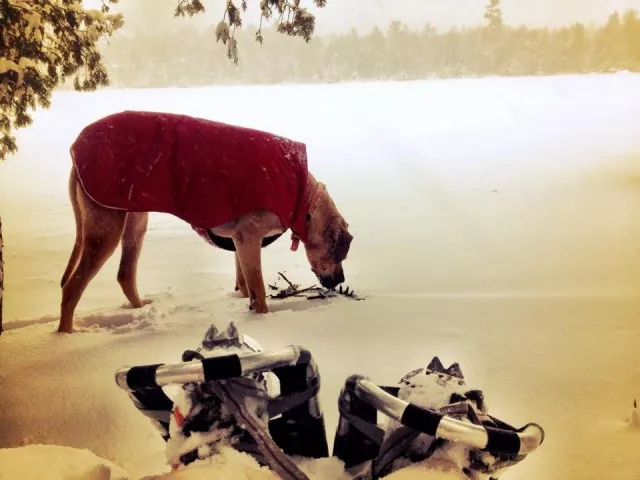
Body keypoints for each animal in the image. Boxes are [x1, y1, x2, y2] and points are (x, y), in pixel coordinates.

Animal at [57, 110, 352, 332]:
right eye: (338, 255)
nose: (340, 280)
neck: (301, 194)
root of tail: (75, 150)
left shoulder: (240, 242)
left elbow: (244, 283)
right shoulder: (249, 236)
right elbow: (258, 290)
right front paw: (263, 320)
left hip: (134, 221)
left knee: (125, 274)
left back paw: (140, 311)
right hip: (105, 229)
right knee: (72, 288)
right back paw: (66, 336)